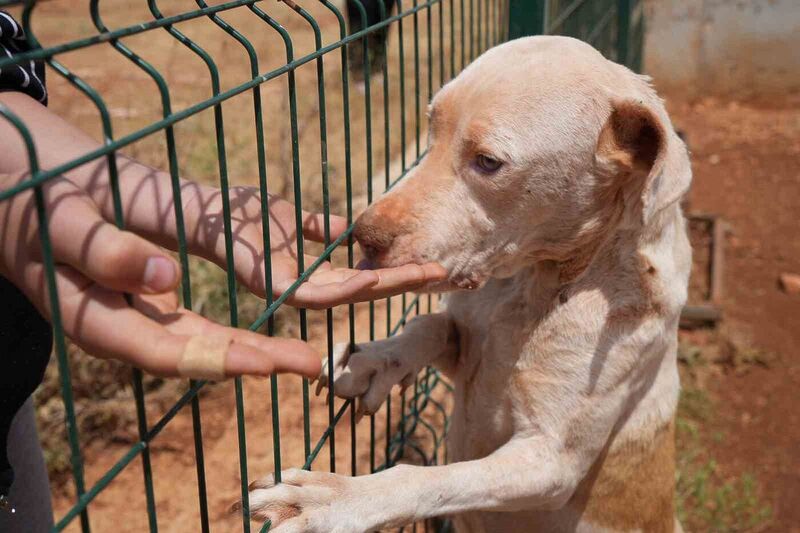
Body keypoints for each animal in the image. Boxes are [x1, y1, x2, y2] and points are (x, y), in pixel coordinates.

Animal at [247, 36, 692, 532]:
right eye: (430, 127)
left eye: (488, 162)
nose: (364, 236)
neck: (536, 285)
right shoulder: (466, 345)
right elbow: (429, 326)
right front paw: (370, 360)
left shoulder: (550, 461)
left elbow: (427, 477)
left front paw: (335, 499)